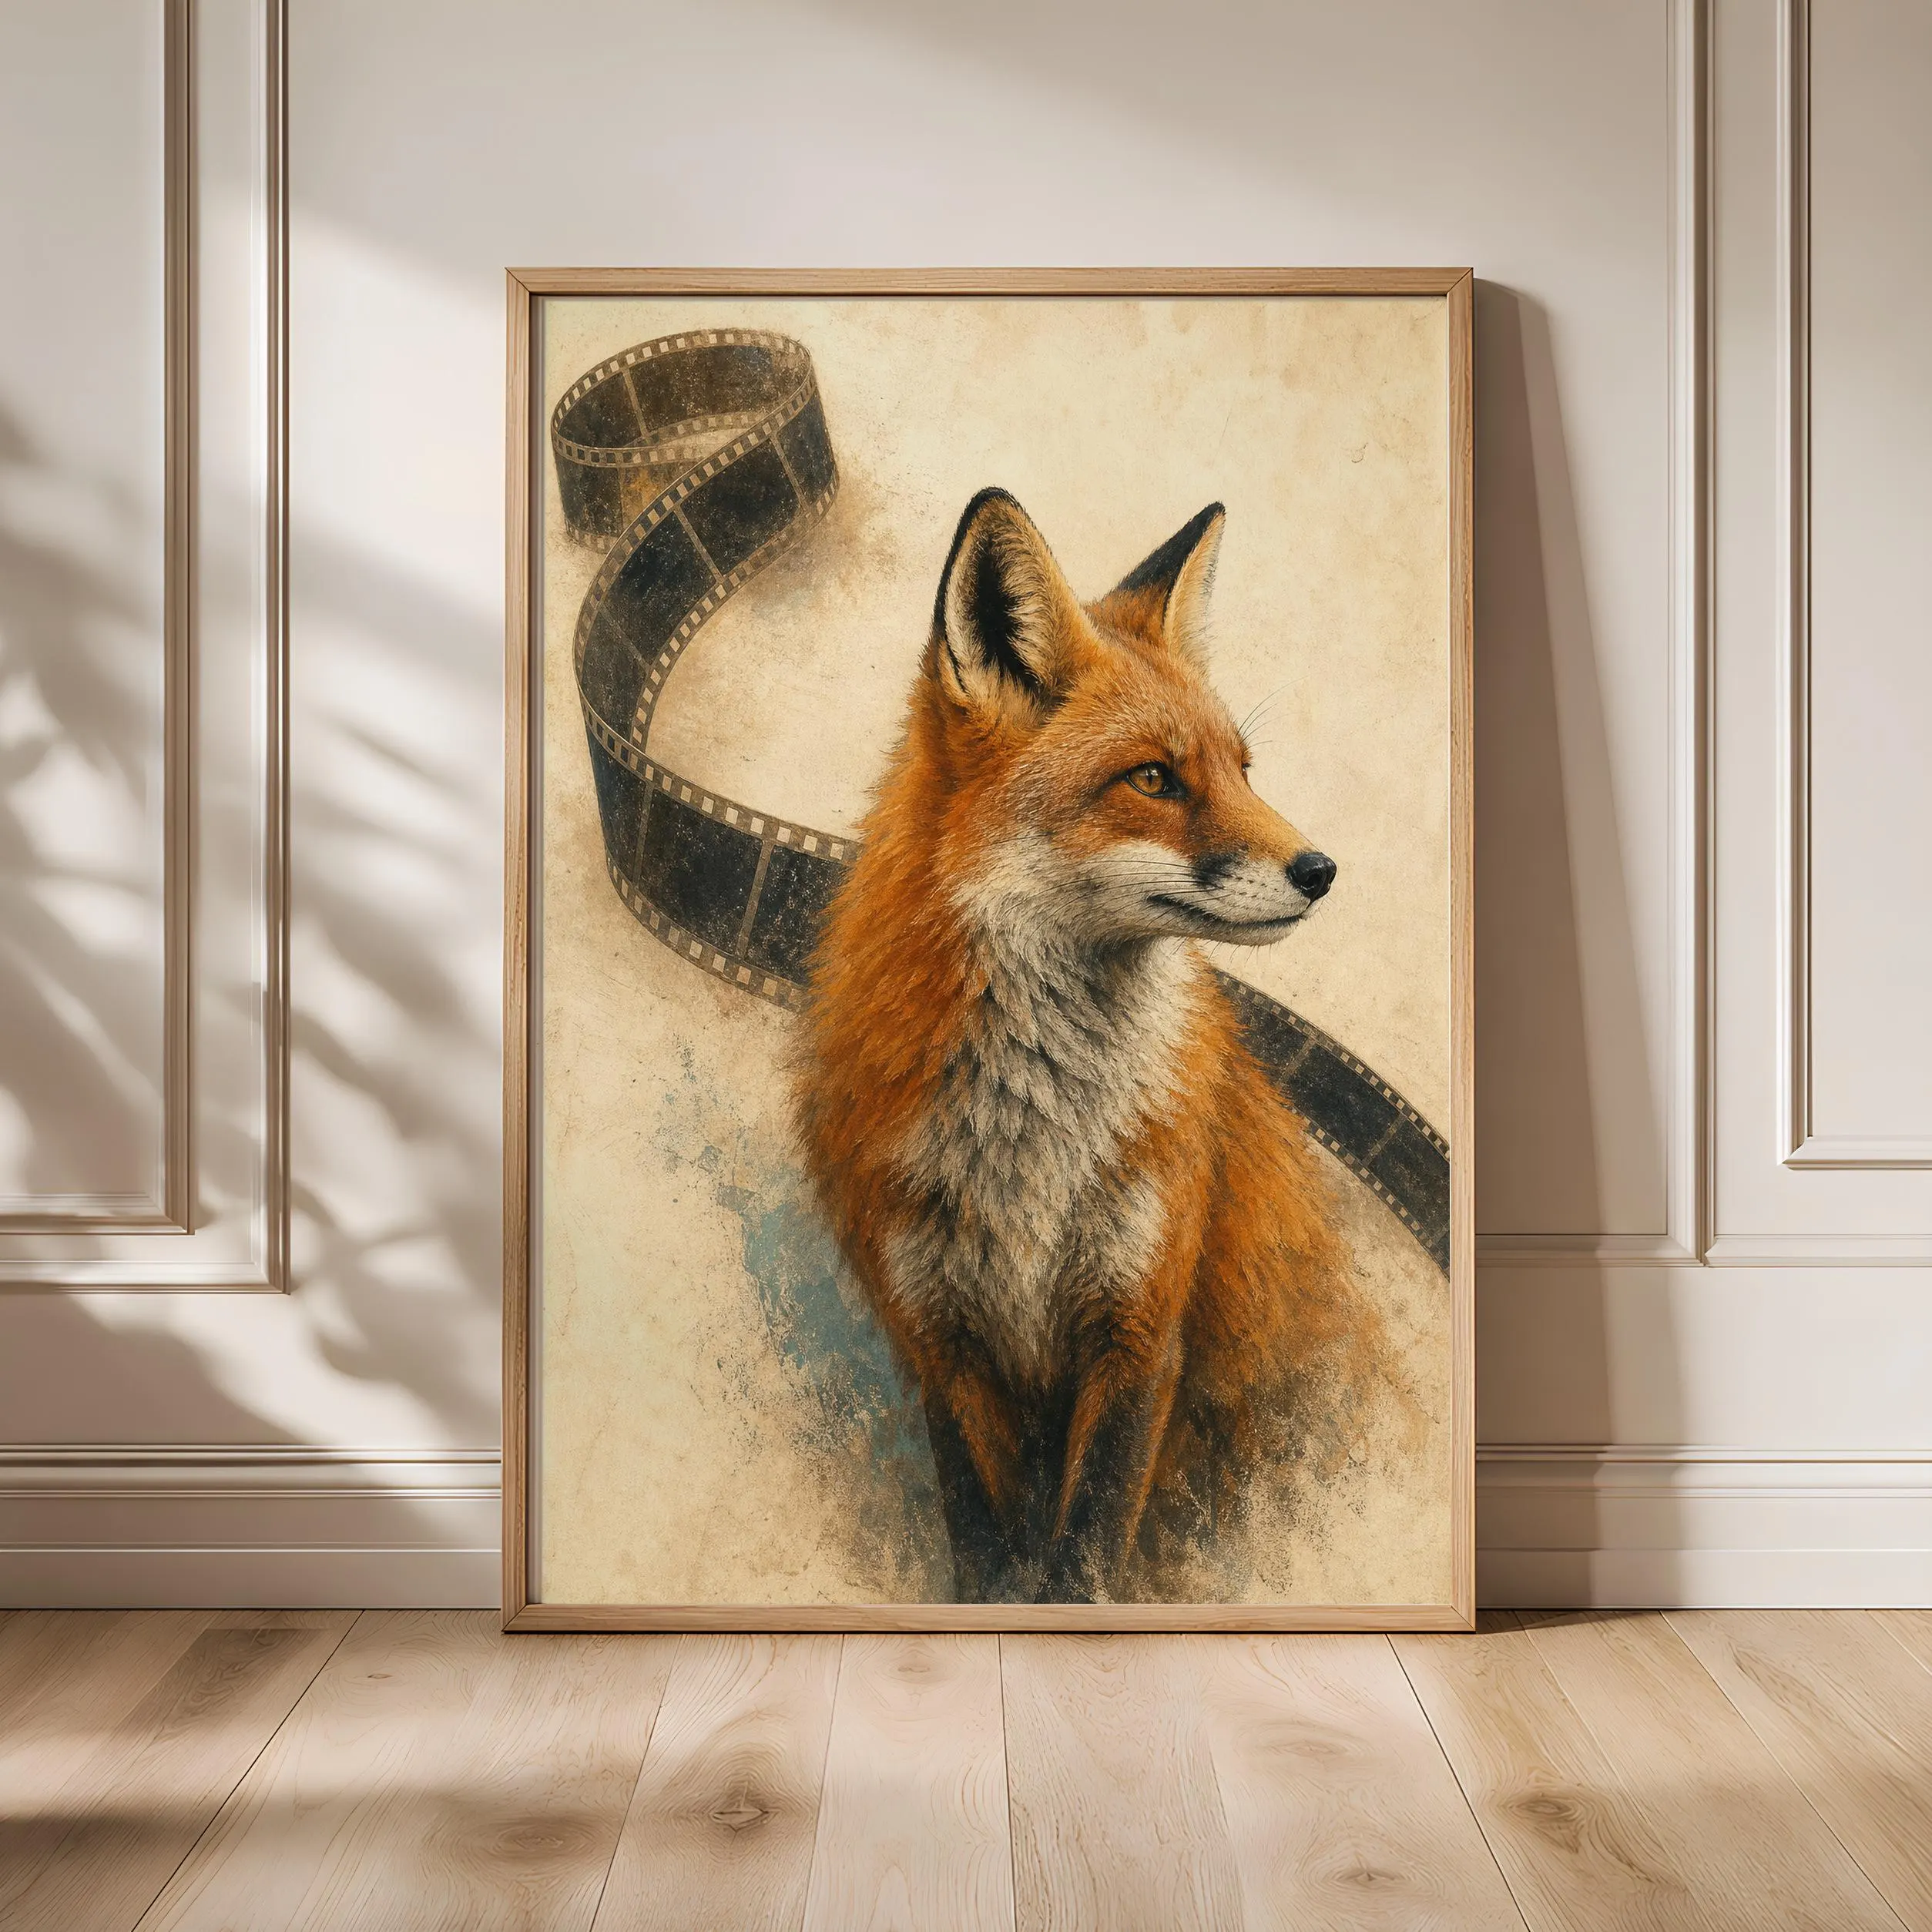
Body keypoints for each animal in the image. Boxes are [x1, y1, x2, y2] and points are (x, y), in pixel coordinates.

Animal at [792, 487, 1379, 1603]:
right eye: (1153, 778)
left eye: (1243, 770)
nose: (1322, 870)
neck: (1032, 1149)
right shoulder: (943, 1347)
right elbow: (990, 1557)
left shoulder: (1139, 1336)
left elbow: (1086, 1560)